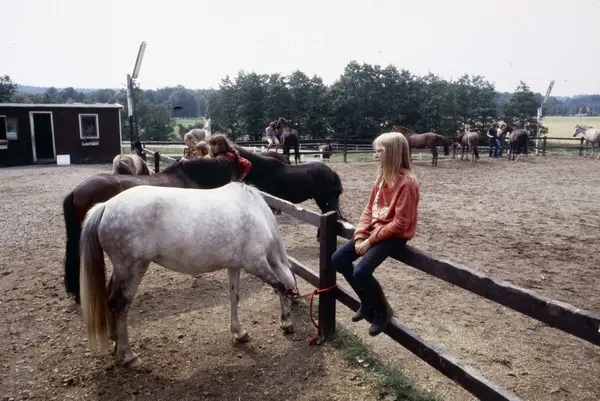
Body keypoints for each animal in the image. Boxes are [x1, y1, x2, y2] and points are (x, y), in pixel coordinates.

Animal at [79, 183, 298, 368]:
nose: (297, 302)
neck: (256, 211)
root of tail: (106, 206)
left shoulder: (234, 265)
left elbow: (234, 297)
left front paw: (239, 332)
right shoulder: (255, 263)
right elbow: (279, 285)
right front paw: (286, 321)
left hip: (121, 270)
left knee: (110, 298)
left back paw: (115, 340)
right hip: (133, 269)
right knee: (121, 303)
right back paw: (128, 355)